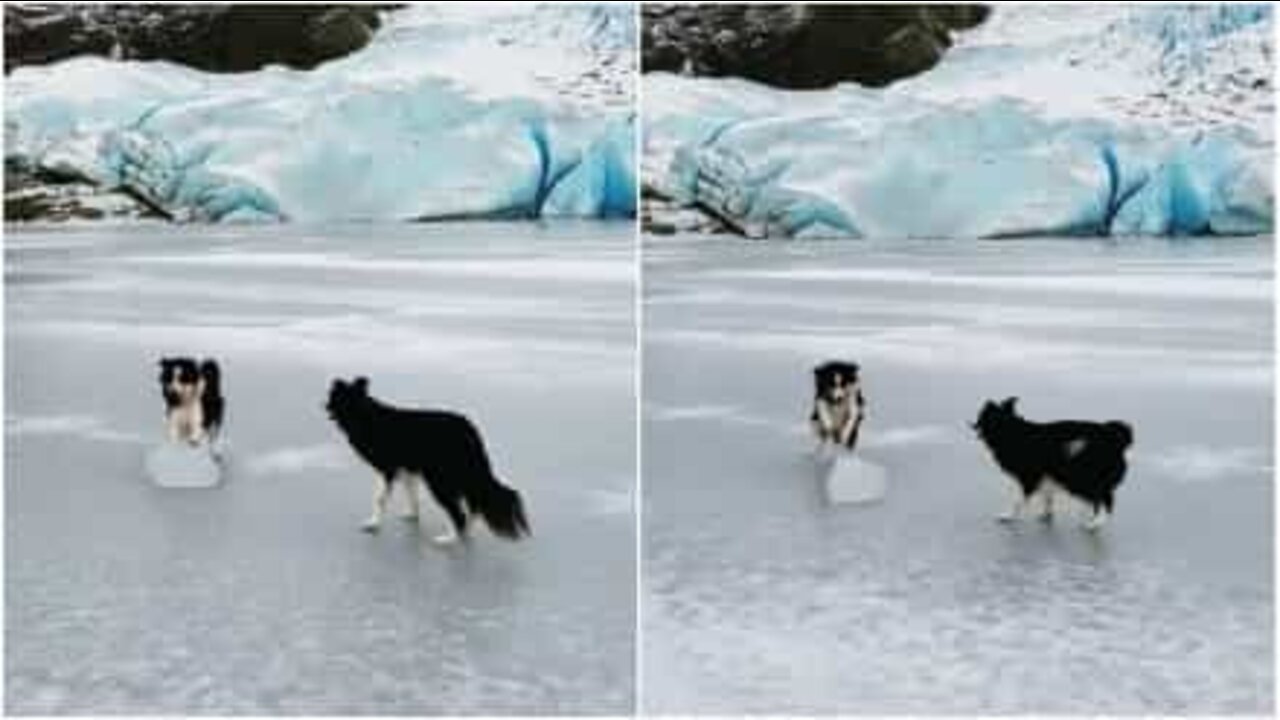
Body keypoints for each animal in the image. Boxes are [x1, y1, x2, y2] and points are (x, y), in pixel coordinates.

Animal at [330, 376, 535, 543]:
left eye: (333, 399)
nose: (326, 408)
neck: (364, 413)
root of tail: (470, 429)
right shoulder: (408, 469)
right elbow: (412, 495)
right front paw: (412, 515)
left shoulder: (387, 469)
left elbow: (379, 498)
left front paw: (372, 524)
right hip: (462, 474)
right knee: (473, 504)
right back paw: (466, 530)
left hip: (440, 479)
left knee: (457, 511)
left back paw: (449, 539)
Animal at [972, 394, 1136, 530]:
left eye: (980, 418)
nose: (972, 426)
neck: (1011, 430)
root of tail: (1115, 438)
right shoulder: (1047, 473)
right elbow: (1047, 494)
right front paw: (1047, 513)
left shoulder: (1029, 476)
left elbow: (1018, 499)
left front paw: (1008, 516)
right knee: (1099, 498)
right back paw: (1091, 516)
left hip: (1082, 476)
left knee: (1106, 500)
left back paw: (1095, 523)